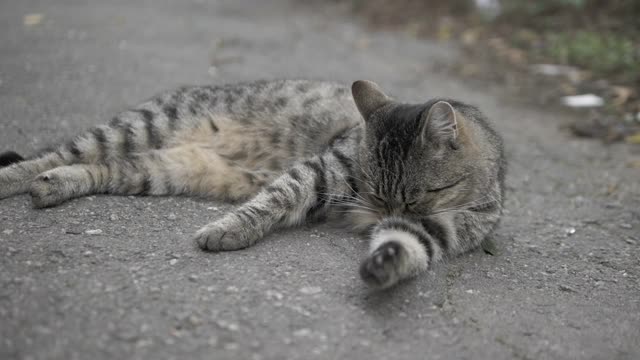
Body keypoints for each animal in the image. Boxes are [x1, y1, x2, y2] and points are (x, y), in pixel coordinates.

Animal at [0, 80, 504, 288]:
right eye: (376, 193)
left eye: (416, 198)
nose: (382, 213)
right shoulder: (324, 169)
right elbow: (276, 198)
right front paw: (229, 229)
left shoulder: (433, 231)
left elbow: (407, 246)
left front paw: (383, 264)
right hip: (140, 126)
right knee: (61, 152)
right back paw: (15, 177)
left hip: (161, 169)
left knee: (103, 167)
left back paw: (54, 185)